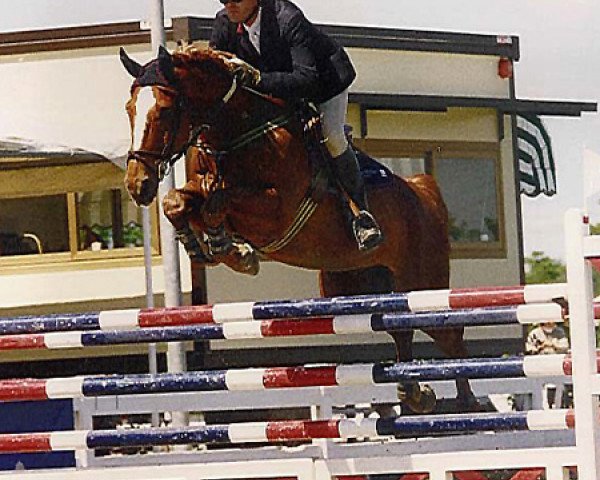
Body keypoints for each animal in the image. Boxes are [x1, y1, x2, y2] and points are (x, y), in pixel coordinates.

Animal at [119, 44, 480, 412]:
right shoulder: (201, 188)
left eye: (163, 111)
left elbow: (216, 203)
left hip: (422, 282)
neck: (236, 132)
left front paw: (233, 250)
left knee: (449, 336)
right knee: (399, 327)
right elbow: (177, 201)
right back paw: (415, 393)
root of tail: (422, 190)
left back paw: (467, 403)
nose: (137, 185)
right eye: (129, 109)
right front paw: (202, 245)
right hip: (357, 283)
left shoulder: (277, 210)